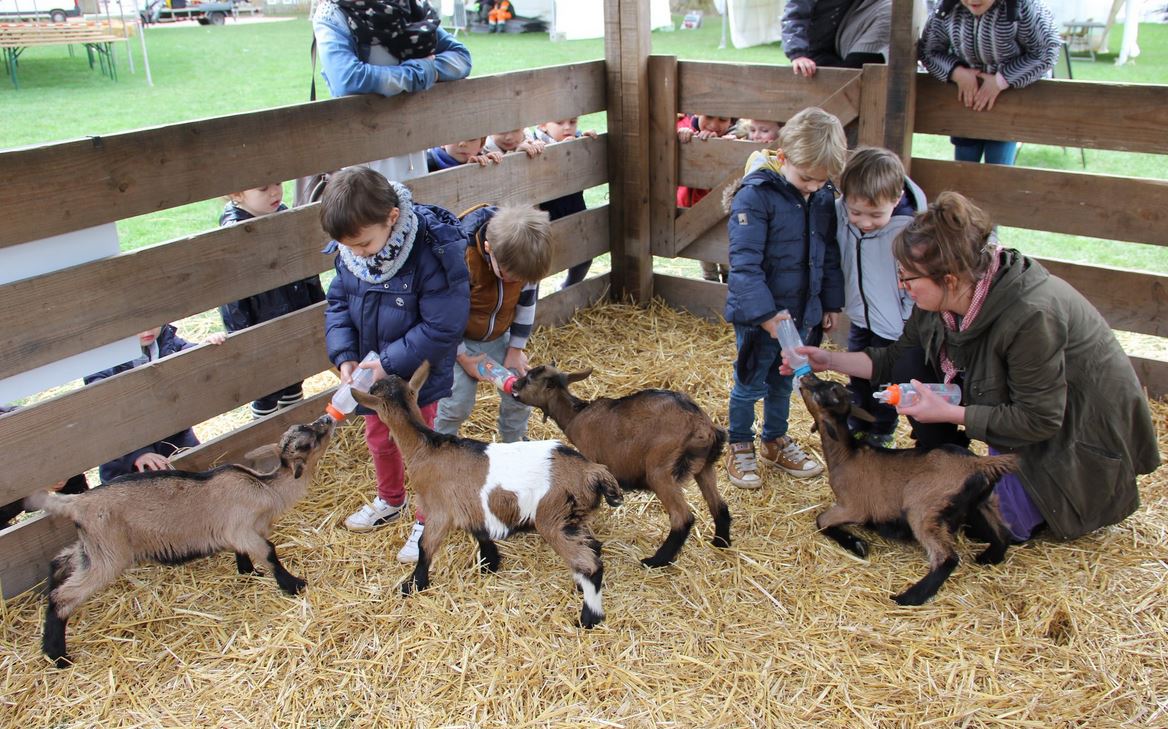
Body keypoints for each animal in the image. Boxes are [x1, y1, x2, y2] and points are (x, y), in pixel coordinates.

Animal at [25, 415, 336, 668]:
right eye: (309, 441)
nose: (327, 419)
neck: (265, 489)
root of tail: (76, 503)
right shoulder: (243, 530)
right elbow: (270, 552)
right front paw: (294, 585)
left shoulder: (239, 534)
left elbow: (244, 555)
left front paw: (249, 573)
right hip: (109, 555)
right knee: (63, 597)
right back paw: (58, 656)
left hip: (93, 547)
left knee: (60, 562)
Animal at [350, 362, 626, 630]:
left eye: (373, 389)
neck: (427, 447)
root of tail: (592, 471)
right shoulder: (471, 506)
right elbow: (480, 533)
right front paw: (489, 564)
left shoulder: (439, 510)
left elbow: (425, 546)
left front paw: (414, 585)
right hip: (575, 518)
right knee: (593, 548)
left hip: (554, 519)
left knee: (589, 564)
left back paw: (589, 618)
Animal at [511, 366, 728, 567]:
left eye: (529, 379)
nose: (513, 385)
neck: (576, 415)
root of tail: (703, 427)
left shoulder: (590, 458)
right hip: (704, 468)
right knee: (719, 505)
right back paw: (721, 543)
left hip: (661, 472)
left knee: (682, 517)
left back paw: (656, 561)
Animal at [798, 373, 1018, 607]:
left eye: (826, 390)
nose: (806, 375)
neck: (847, 455)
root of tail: (977, 464)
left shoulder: (854, 507)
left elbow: (821, 520)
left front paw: (858, 545)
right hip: (985, 501)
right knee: (1004, 532)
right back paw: (988, 558)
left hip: (923, 507)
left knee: (947, 557)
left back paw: (907, 598)